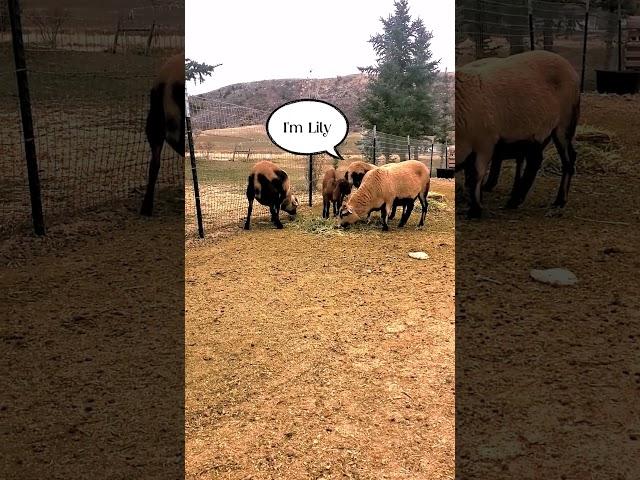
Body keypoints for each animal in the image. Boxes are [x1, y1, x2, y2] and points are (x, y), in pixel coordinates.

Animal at [456, 50, 580, 218]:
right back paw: (516, 198)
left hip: (564, 124)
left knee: (567, 159)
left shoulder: (485, 143)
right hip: (537, 133)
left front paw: (475, 210)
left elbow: (475, 176)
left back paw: (558, 201)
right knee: (535, 160)